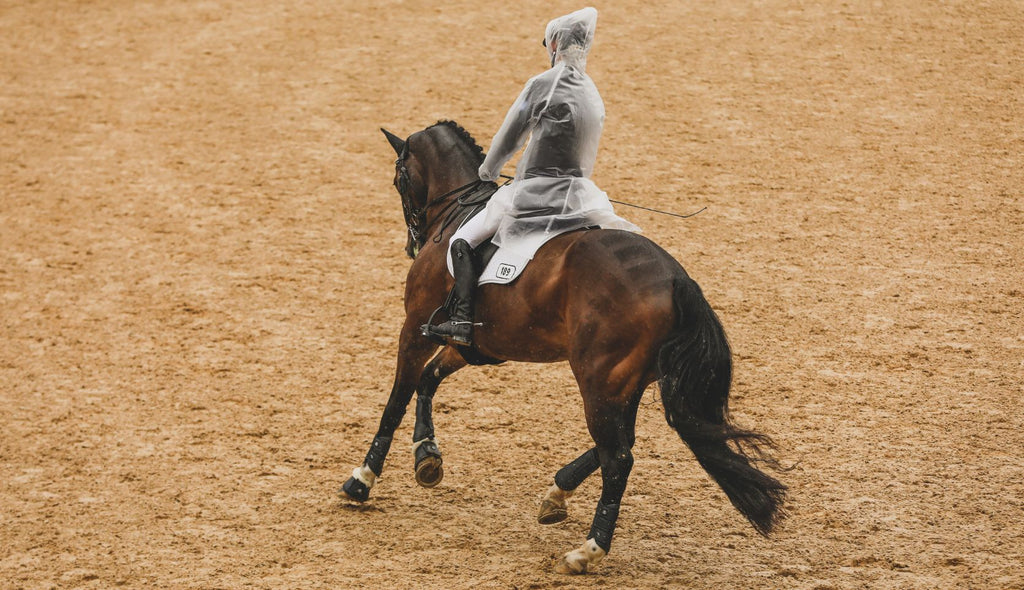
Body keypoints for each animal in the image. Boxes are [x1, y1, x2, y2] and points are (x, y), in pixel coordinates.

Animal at [341, 120, 787, 574]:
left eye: (398, 179)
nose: (412, 243)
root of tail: (675, 278)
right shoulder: (475, 344)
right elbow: (428, 380)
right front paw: (426, 455)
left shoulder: (415, 327)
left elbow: (397, 398)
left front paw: (362, 479)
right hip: (623, 382)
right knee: (622, 442)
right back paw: (556, 495)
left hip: (598, 378)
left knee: (618, 457)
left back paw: (587, 551)